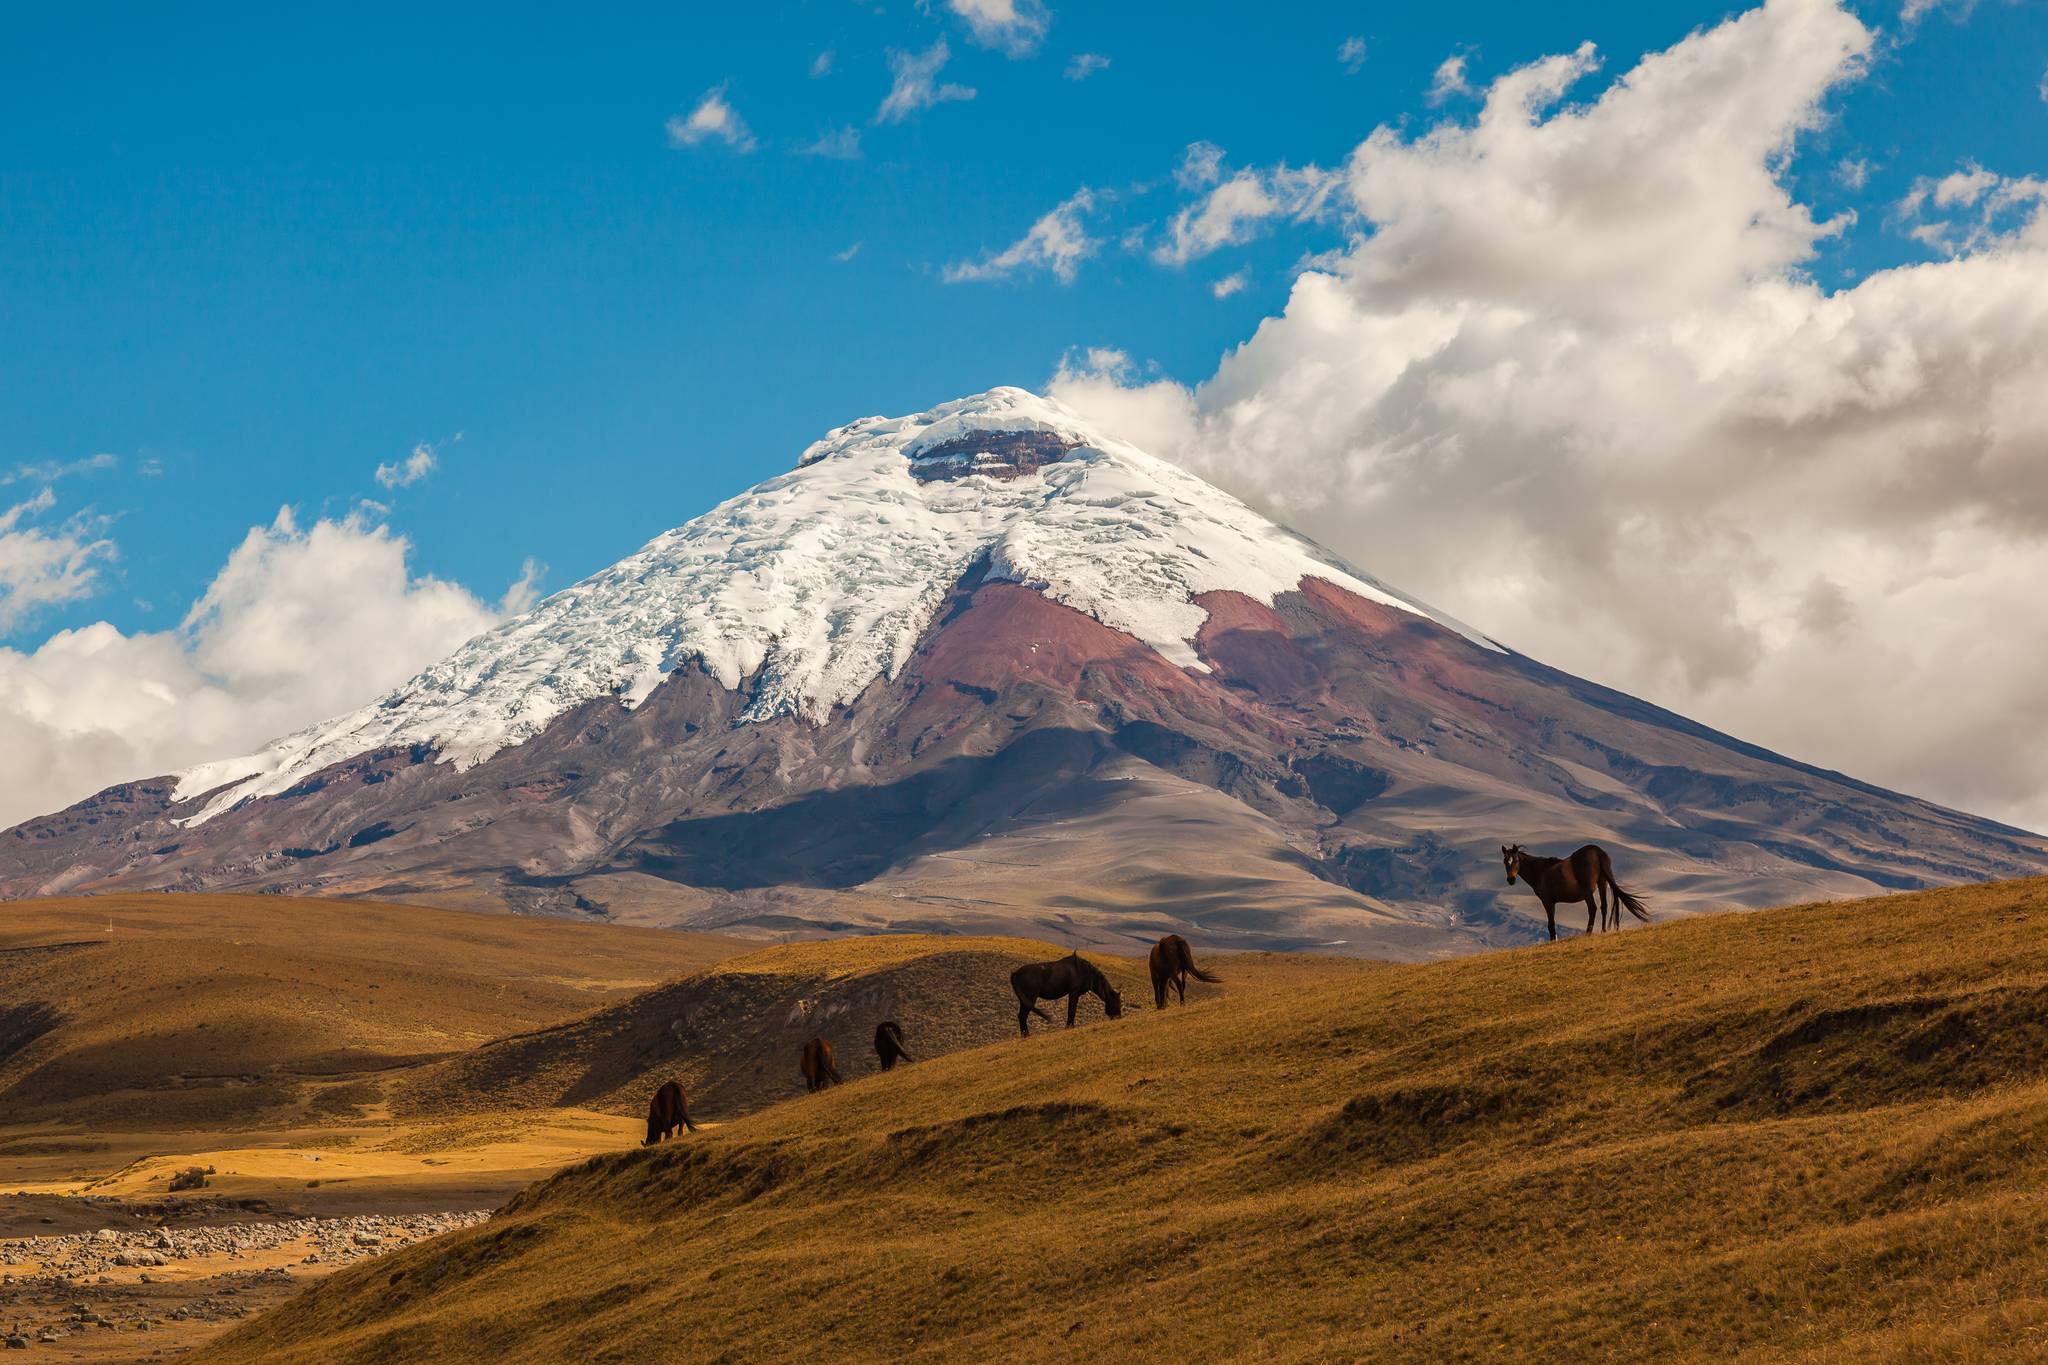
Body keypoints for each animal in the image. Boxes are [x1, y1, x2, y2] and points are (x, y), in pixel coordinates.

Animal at [1499, 839, 1654, 945]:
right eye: (1505, 862)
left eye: (1516, 860)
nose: (1510, 880)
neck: (1541, 871)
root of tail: (1597, 852)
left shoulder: (1548, 902)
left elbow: (1551, 924)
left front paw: (1553, 941)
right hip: (1602, 883)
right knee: (1604, 907)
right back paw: (1603, 930)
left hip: (1588, 891)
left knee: (1593, 908)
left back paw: (1588, 933)